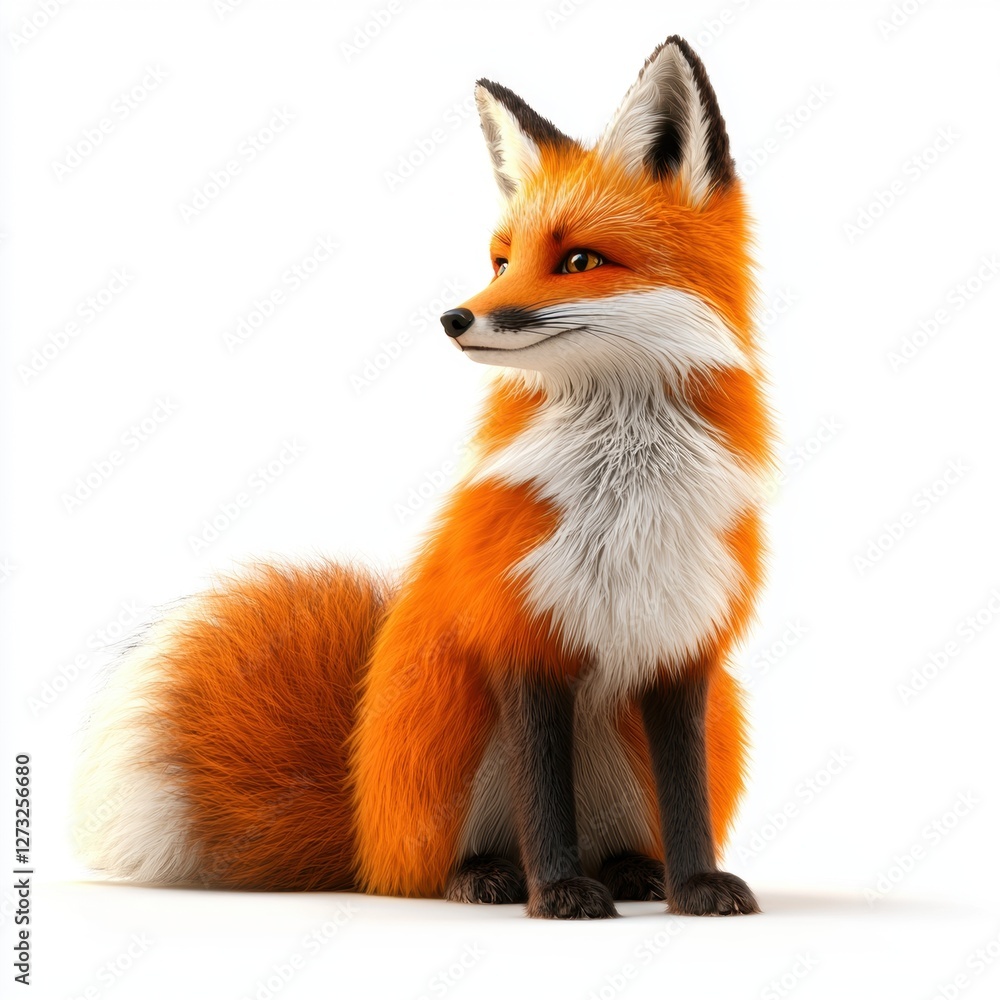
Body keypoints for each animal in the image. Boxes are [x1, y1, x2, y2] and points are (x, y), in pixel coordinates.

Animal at [74, 35, 772, 919]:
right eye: (500, 261)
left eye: (579, 260)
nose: (454, 318)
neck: (624, 494)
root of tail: (360, 819)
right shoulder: (521, 641)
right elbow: (545, 801)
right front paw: (558, 894)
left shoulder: (681, 649)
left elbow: (686, 798)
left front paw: (697, 886)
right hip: (450, 719)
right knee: (435, 866)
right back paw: (486, 877)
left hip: (674, 728)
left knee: (620, 830)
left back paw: (630, 871)